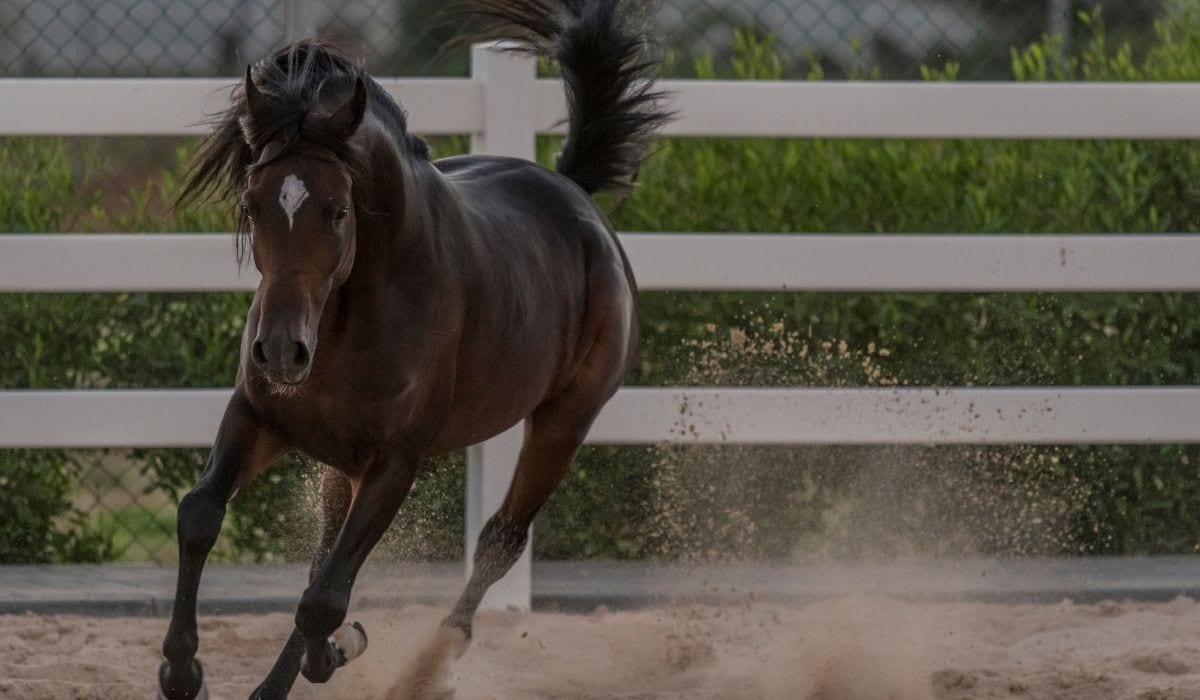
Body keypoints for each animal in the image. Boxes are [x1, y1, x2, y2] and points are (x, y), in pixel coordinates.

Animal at [156, 0, 668, 697]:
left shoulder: (395, 462)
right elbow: (202, 516)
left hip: (564, 421)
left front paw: (340, 648)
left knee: (499, 541)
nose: (282, 352)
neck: (346, 320)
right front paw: (183, 673)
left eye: (338, 210)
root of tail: (578, 200)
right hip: (342, 459)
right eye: (253, 203)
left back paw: (431, 663)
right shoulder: (258, 416)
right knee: (326, 552)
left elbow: (325, 598)